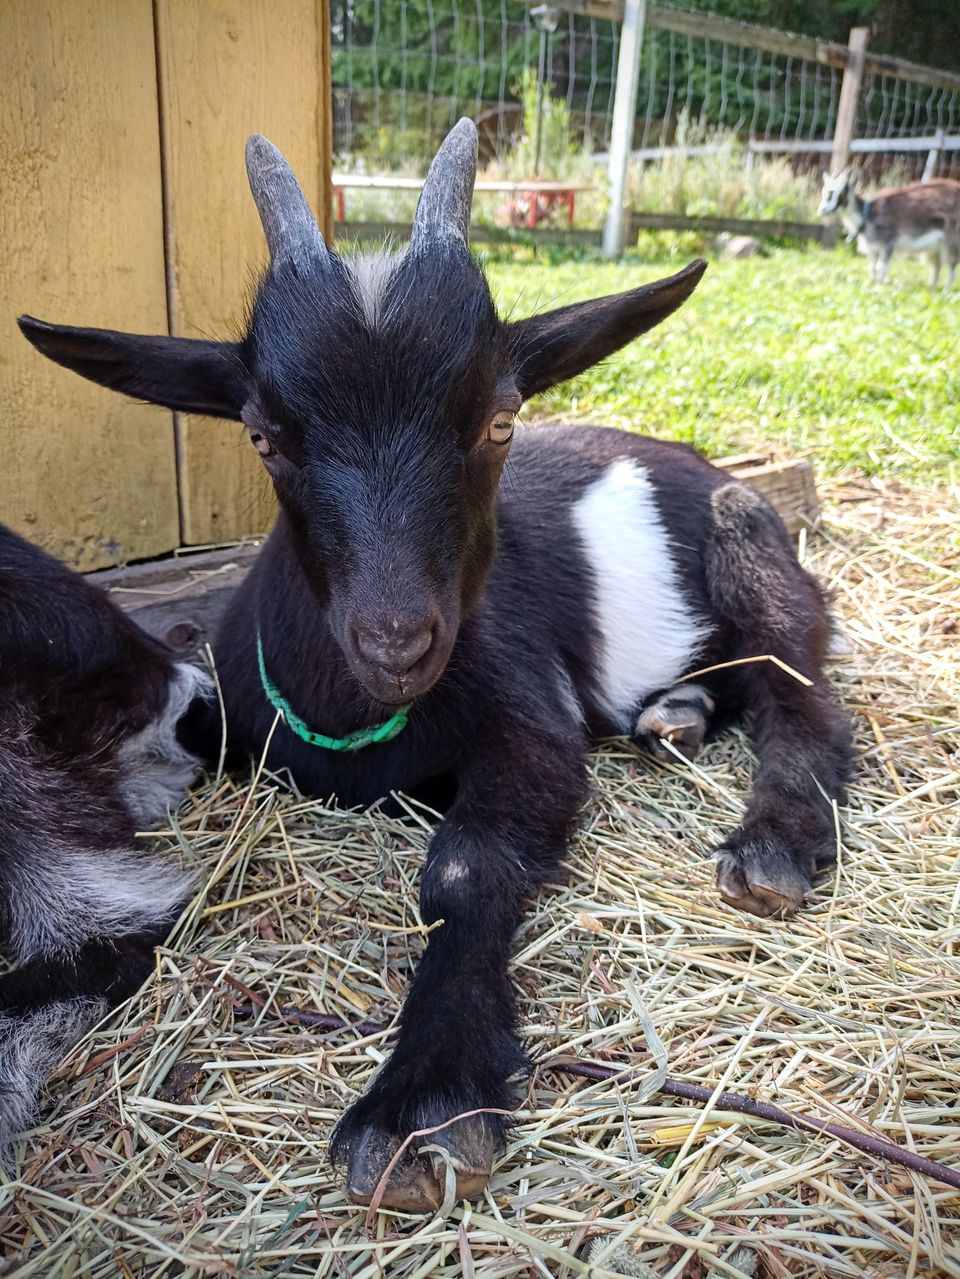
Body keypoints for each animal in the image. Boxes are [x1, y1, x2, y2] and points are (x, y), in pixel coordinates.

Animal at [818, 168, 960, 286]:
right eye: (824, 192)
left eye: (839, 193)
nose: (821, 210)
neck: (868, 216)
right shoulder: (873, 248)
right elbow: (872, 267)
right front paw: (872, 283)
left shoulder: (888, 242)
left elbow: (881, 267)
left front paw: (880, 286)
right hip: (936, 247)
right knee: (937, 265)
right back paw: (932, 287)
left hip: (952, 240)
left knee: (951, 266)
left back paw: (946, 290)